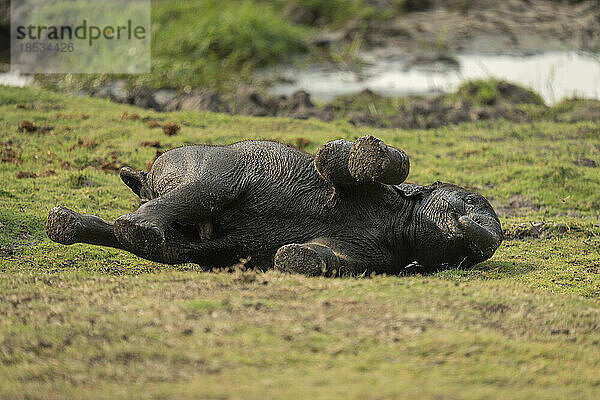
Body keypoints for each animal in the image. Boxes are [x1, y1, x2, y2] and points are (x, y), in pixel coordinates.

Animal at [47, 134, 504, 276]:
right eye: (471, 200)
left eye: (464, 259)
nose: (486, 238)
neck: (396, 220)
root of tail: (145, 180)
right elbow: (333, 158)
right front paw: (365, 154)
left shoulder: (376, 257)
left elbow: (320, 258)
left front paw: (294, 257)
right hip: (212, 166)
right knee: (203, 190)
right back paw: (133, 225)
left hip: (187, 239)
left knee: (167, 245)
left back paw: (68, 223)